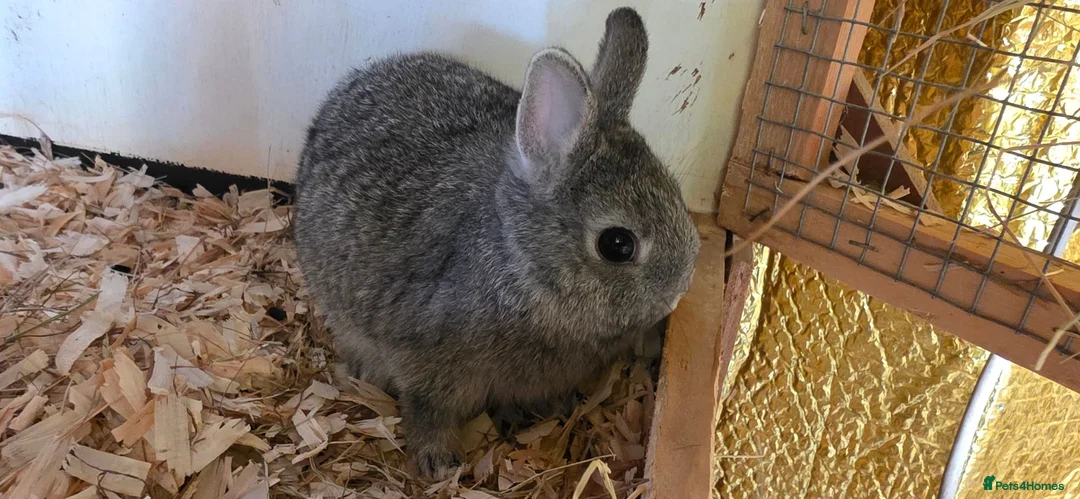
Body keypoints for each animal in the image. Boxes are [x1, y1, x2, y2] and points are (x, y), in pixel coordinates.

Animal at [293, 7, 700, 479]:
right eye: (618, 244)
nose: (678, 292)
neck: (523, 266)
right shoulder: (426, 366)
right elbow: (426, 411)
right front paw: (438, 463)